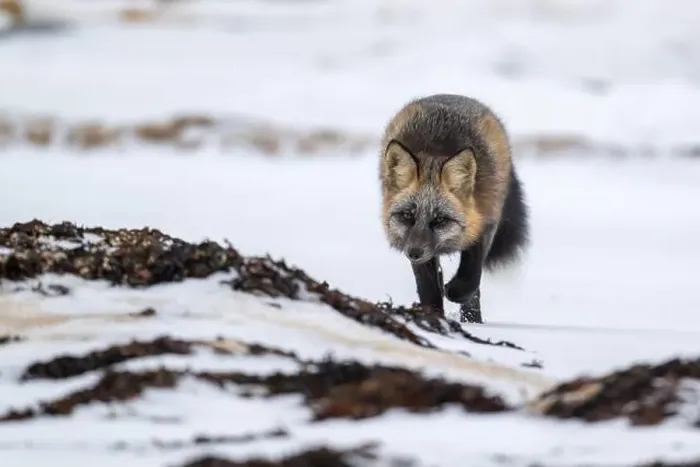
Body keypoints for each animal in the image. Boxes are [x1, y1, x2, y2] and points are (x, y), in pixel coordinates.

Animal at [378, 94, 529, 324]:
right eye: (407, 216)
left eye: (440, 219)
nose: (413, 253)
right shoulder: (418, 249)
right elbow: (428, 289)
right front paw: (432, 317)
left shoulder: (485, 222)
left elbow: (471, 277)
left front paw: (456, 292)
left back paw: (473, 319)